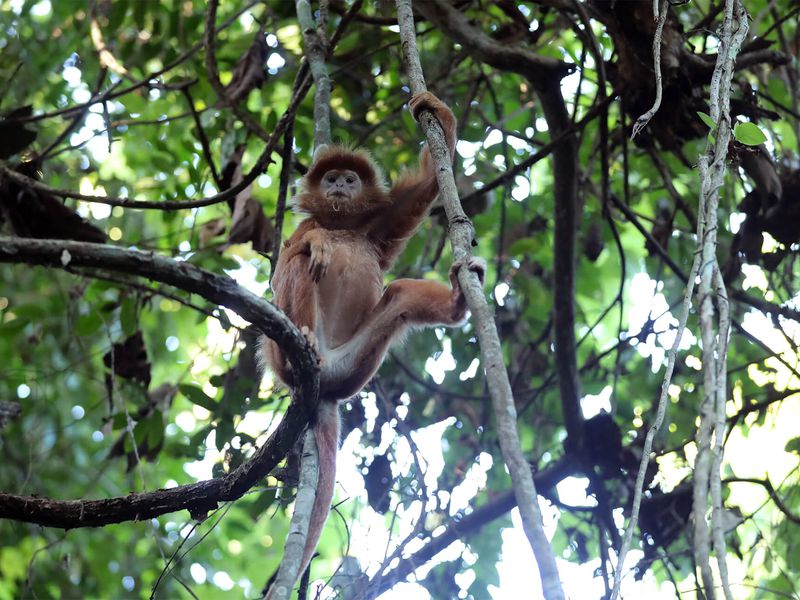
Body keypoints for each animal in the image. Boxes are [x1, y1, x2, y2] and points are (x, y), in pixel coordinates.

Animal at [262, 91, 488, 588]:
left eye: (350, 178)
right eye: (331, 177)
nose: (340, 183)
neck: (341, 222)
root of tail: (323, 385)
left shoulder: (376, 225)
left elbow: (425, 186)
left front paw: (436, 110)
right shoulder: (306, 227)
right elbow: (288, 257)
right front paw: (321, 242)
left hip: (357, 362)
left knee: (400, 292)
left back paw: (458, 301)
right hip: (285, 353)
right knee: (300, 262)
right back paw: (304, 337)